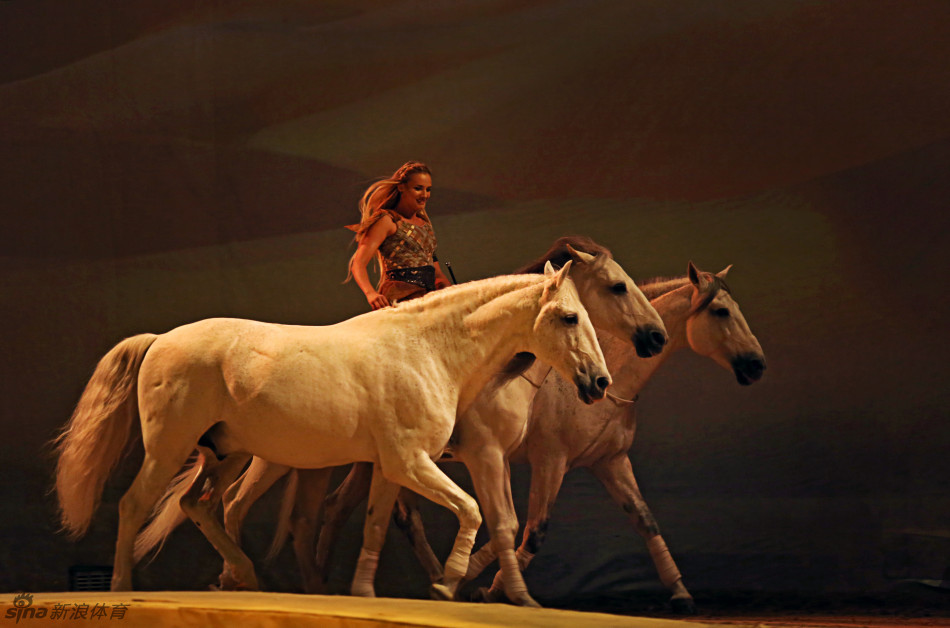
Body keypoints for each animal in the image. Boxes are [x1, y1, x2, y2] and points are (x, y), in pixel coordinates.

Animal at [133, 236, 670, 606]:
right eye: (616, 287)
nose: (654, 337)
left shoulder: (456, 461)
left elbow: (497, 523)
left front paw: (498, 592)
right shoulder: (475, 457)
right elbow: (493, 518)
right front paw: (461, 583)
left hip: (273, 458)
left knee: (266, 513)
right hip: (264, 459)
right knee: (235, 506)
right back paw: (246, 581)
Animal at [461, 261, 766, 612]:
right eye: (721, 311)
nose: (757, 364)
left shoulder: (611, 462)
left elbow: (645, 520)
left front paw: (680, 592)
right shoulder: (550, 463)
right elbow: (534, 531)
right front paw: (492, 588)